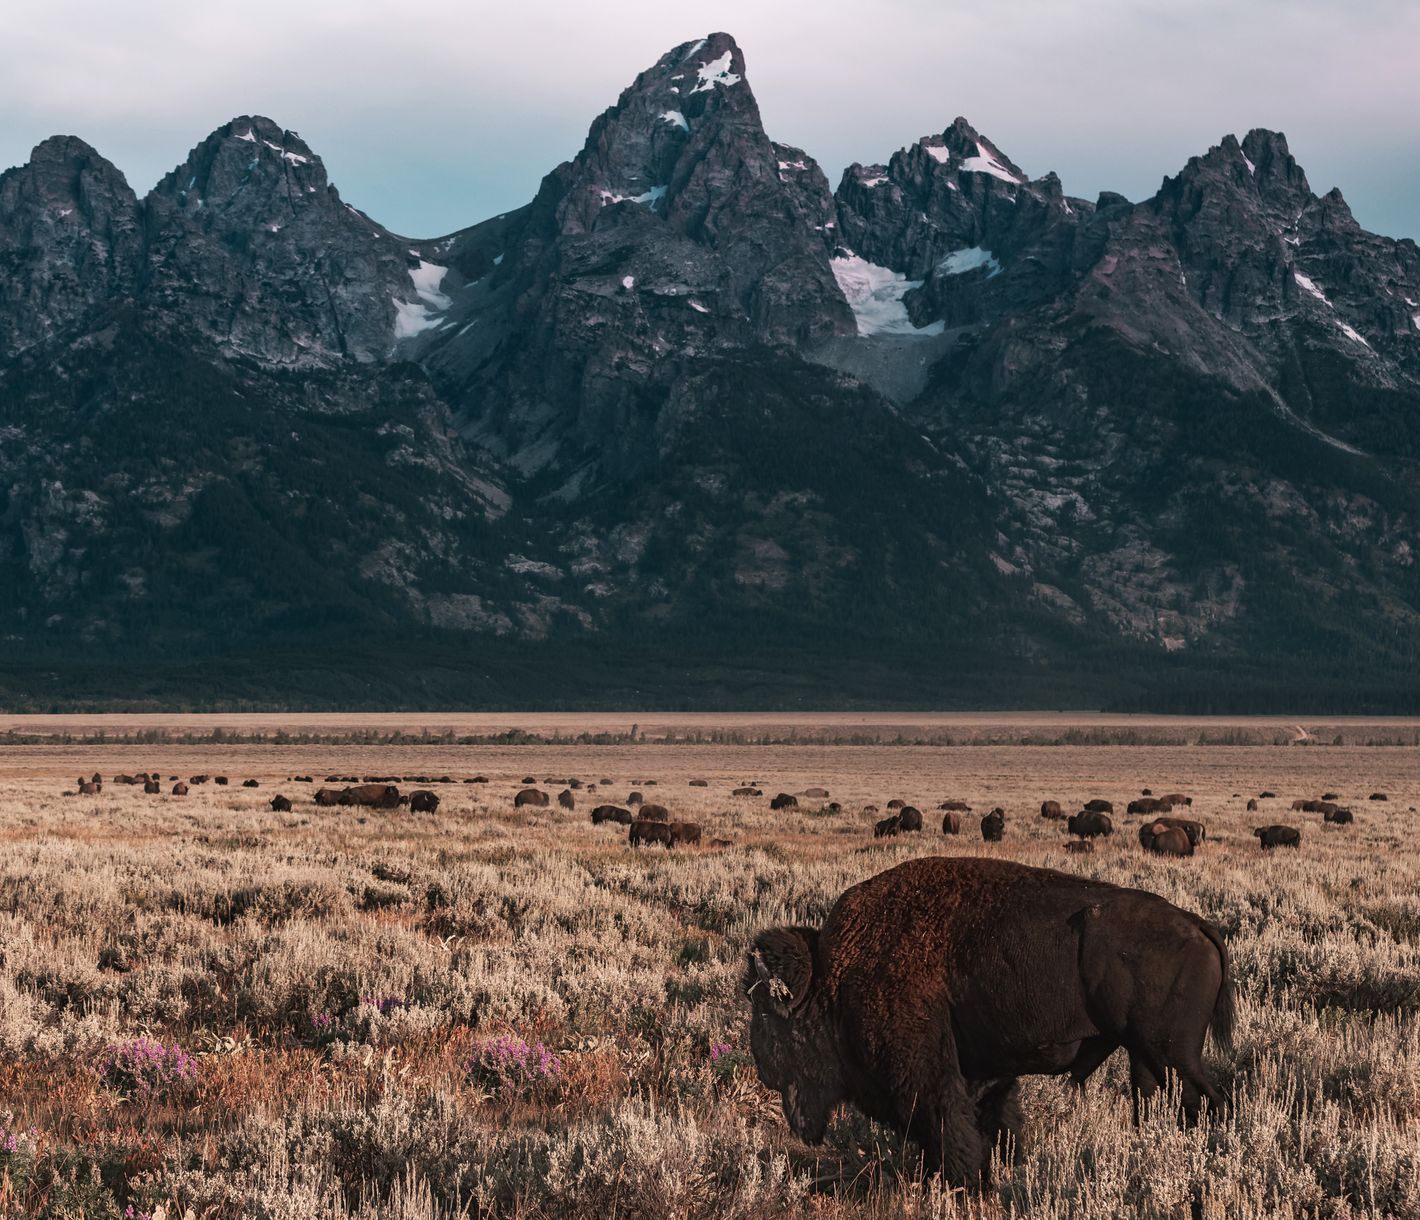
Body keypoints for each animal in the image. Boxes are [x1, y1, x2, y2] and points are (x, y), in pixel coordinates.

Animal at [746, 857, 1232, 1183]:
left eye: (768, 1015)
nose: (763, 1068)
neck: (835, 976)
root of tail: (1197, 924)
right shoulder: (984, 1071)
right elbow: (993, 1120)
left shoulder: (927, 1074)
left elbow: (946, 1124)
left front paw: (957, 1181)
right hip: (1146, 1058)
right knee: (1156, 1103)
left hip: (1173, 1055)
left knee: (1212, 1101)